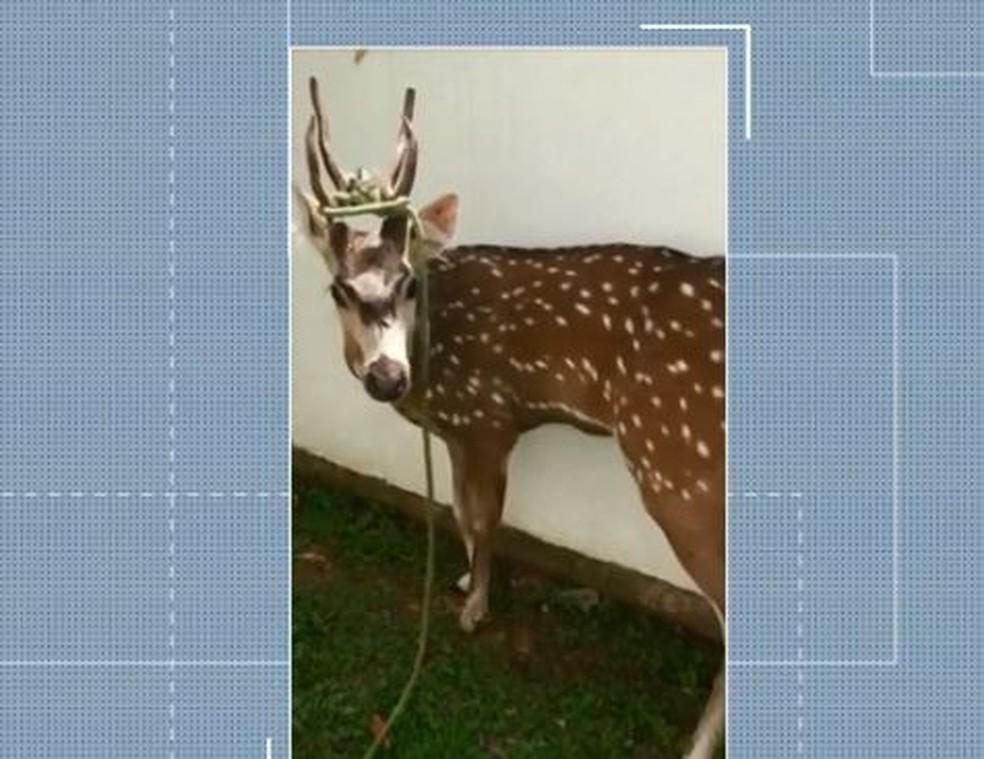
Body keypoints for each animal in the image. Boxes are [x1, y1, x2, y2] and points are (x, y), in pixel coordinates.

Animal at [297, 77, 726, 759]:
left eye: (407, 282)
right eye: (339, 289)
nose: (387, 377)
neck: (433, 360)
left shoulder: (489, 419)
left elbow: (485, 515)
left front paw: (475, 609)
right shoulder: (455, 428)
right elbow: (455, 509)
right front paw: (460, 582)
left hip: (679, 465)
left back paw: (697, 745)